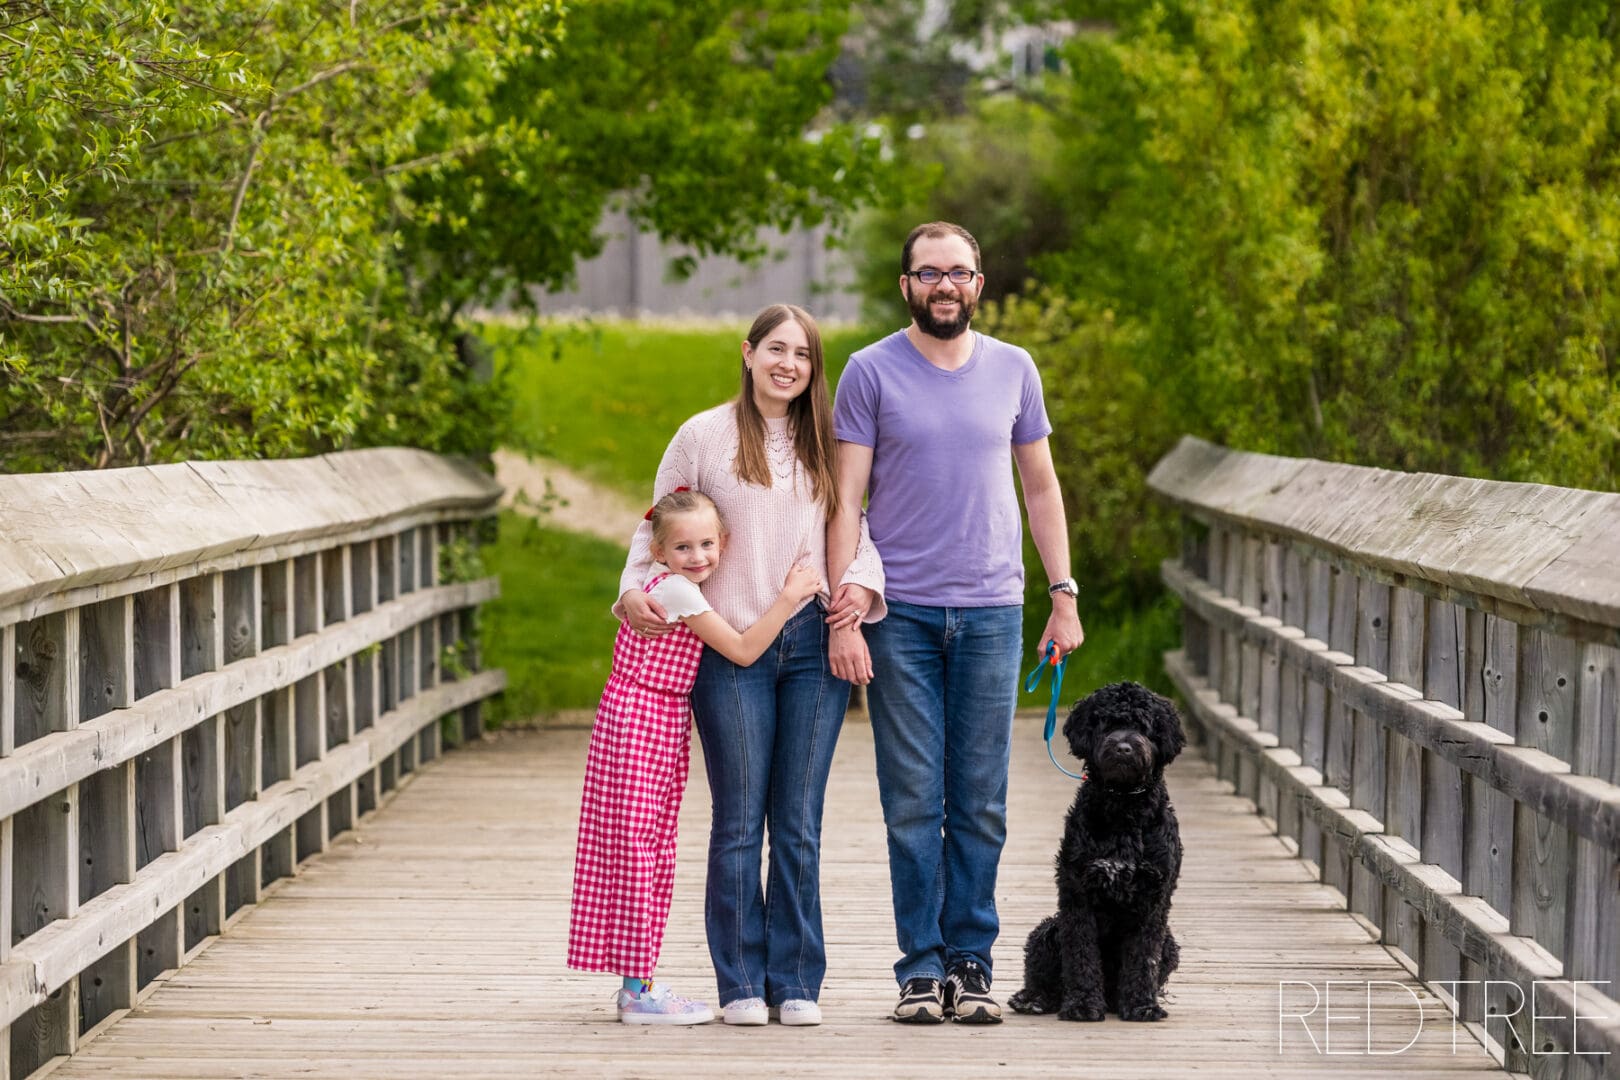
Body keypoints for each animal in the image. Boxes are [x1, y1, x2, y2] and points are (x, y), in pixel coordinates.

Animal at [1004, 680, 1185, 1029]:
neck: (1123, 808)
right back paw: (1032, 999)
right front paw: (1083, 1005)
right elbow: (1081, 955)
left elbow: (1144, 958)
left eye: (1142, 726)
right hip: (1047, 932)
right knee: (1044, 978)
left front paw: (1142, 1006)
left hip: (1169, 944)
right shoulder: (1078, 894)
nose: (1124, 748)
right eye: (1107, 724)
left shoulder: (1153, 899)